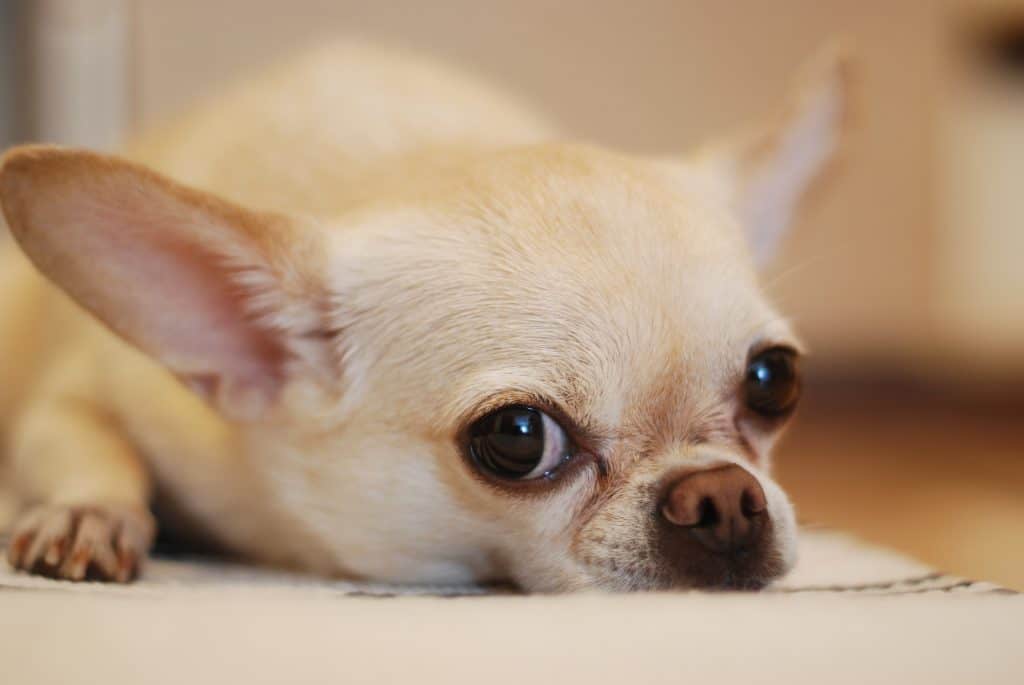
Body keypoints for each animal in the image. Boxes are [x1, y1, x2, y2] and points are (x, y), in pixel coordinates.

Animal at [0, 42, 847, 589]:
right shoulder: (92, 392)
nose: (723, 496)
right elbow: (78, 437)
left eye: (775, 380)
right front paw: (89, 511)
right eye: (517, 437)